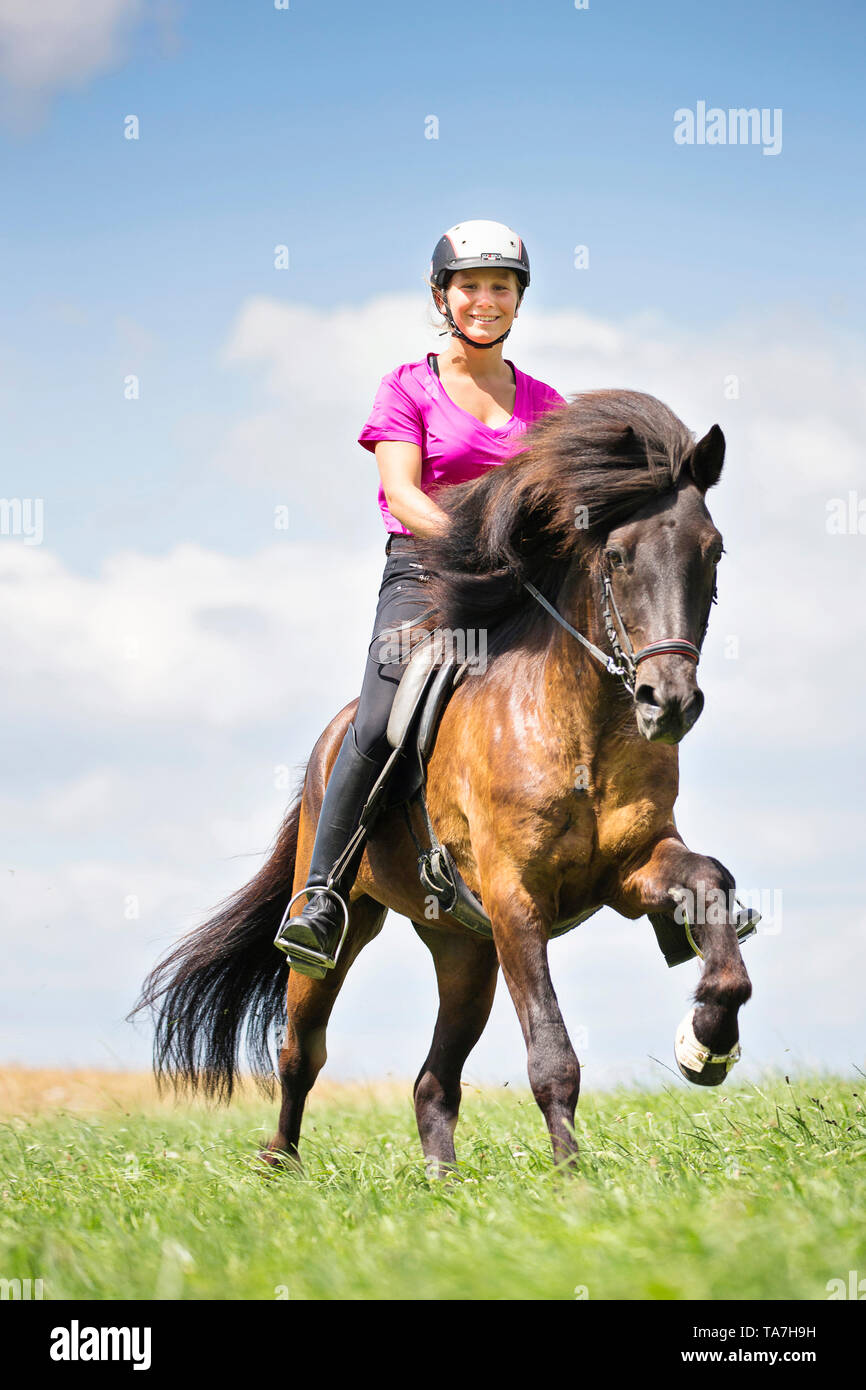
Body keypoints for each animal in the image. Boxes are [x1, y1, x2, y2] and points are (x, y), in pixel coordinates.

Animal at [132, 391, 756, 1173]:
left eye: (713, 550)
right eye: (617, 556)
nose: (668, 702)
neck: (579, 725)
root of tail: (330, 738)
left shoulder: (629, 868)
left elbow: (710, 882)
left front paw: (707, 1042)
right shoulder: (517, 897)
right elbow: (552, 1054)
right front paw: (574, 1179)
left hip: (465, 952)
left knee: (433, 1080)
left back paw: (442, 1182)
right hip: (343, 934)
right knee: (301, 1052)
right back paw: (281, 1165)